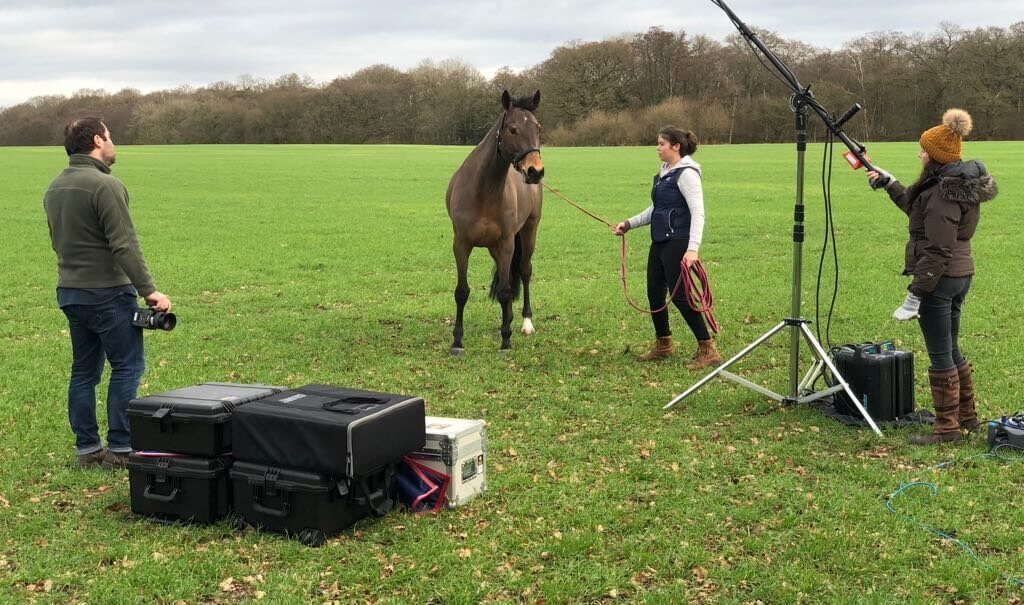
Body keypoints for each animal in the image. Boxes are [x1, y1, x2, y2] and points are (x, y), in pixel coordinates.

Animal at [445, 90, 544, 354]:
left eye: (538, 128)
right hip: (493, 248)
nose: (535, 171)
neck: (484, 192)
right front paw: (457, 341)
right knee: (506, 276)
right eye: (512, 129)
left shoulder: (507, 243)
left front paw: (506, 339)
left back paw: (525, 323)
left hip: (528, 232)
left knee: (524, 271)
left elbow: (506, 290)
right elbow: (462, 292)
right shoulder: (461, 244)